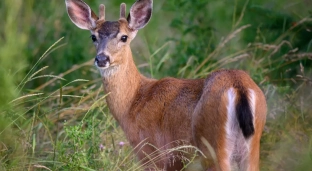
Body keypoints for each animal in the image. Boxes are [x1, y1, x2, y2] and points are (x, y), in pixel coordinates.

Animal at [65, 0, 266, 170]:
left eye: (124, 37)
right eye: (93, 37)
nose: (101, 58)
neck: (133, 102)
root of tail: (238, 88)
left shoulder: (153, 153)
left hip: (212, 144)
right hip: (250, 147)